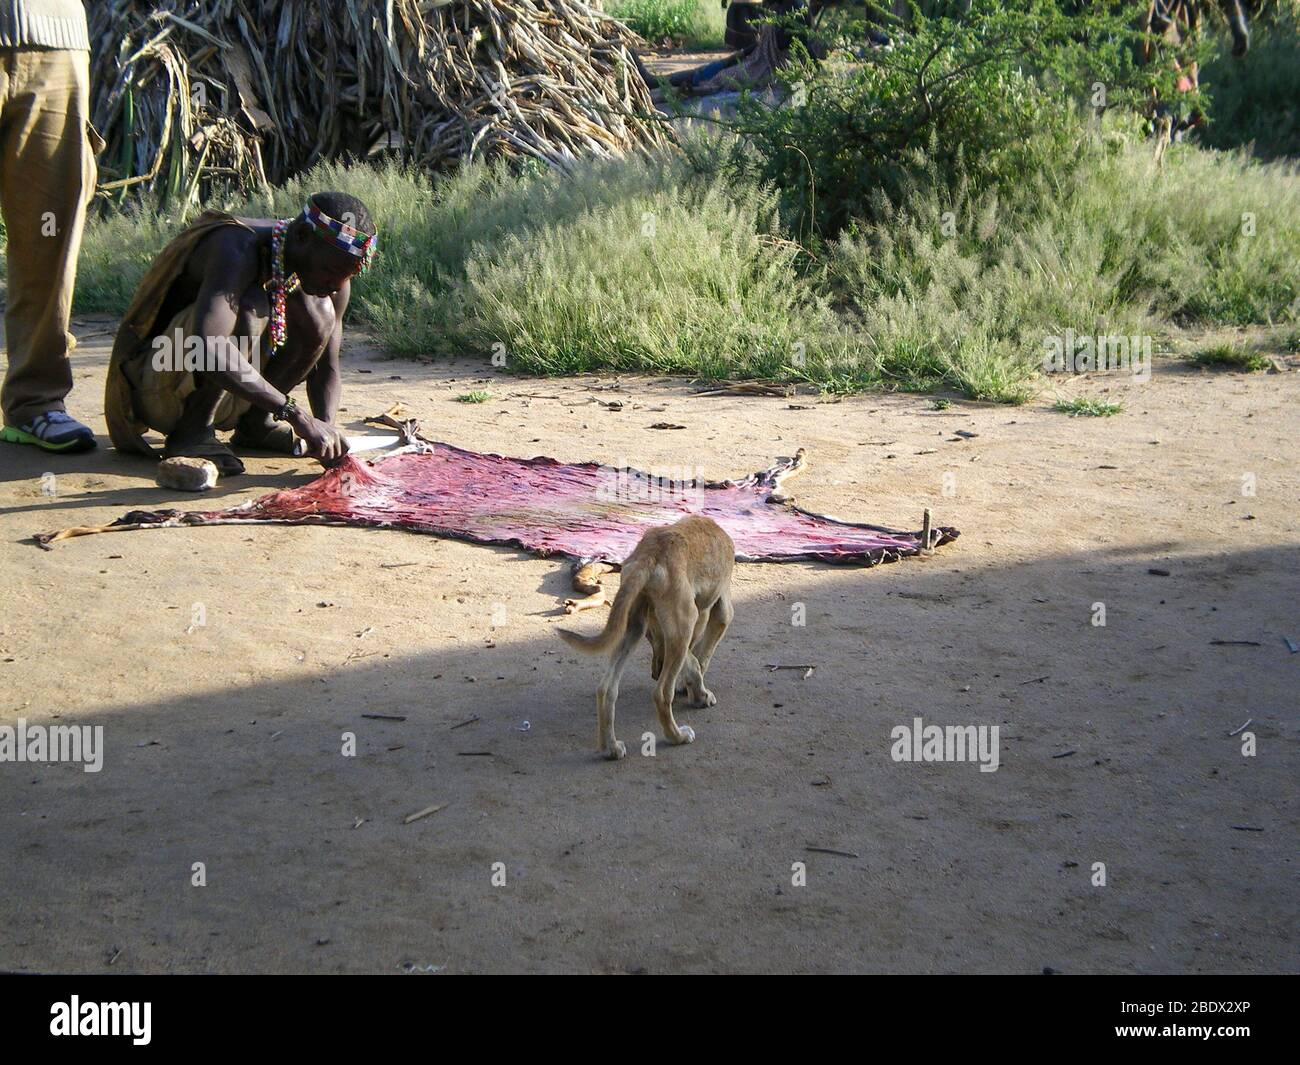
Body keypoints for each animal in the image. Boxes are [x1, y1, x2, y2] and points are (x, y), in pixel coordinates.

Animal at [556, 514, 733, 759]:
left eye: (653, 637)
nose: (654, 672)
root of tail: (650, 554)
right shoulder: (715, 612)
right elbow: (701, 657)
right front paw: (700, 695)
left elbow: (693, 660)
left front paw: (693, 689)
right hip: (684, 622)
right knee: (661, 694)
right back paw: (677, 736)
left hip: (632, 627)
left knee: (606, 689)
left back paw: (611, 747)